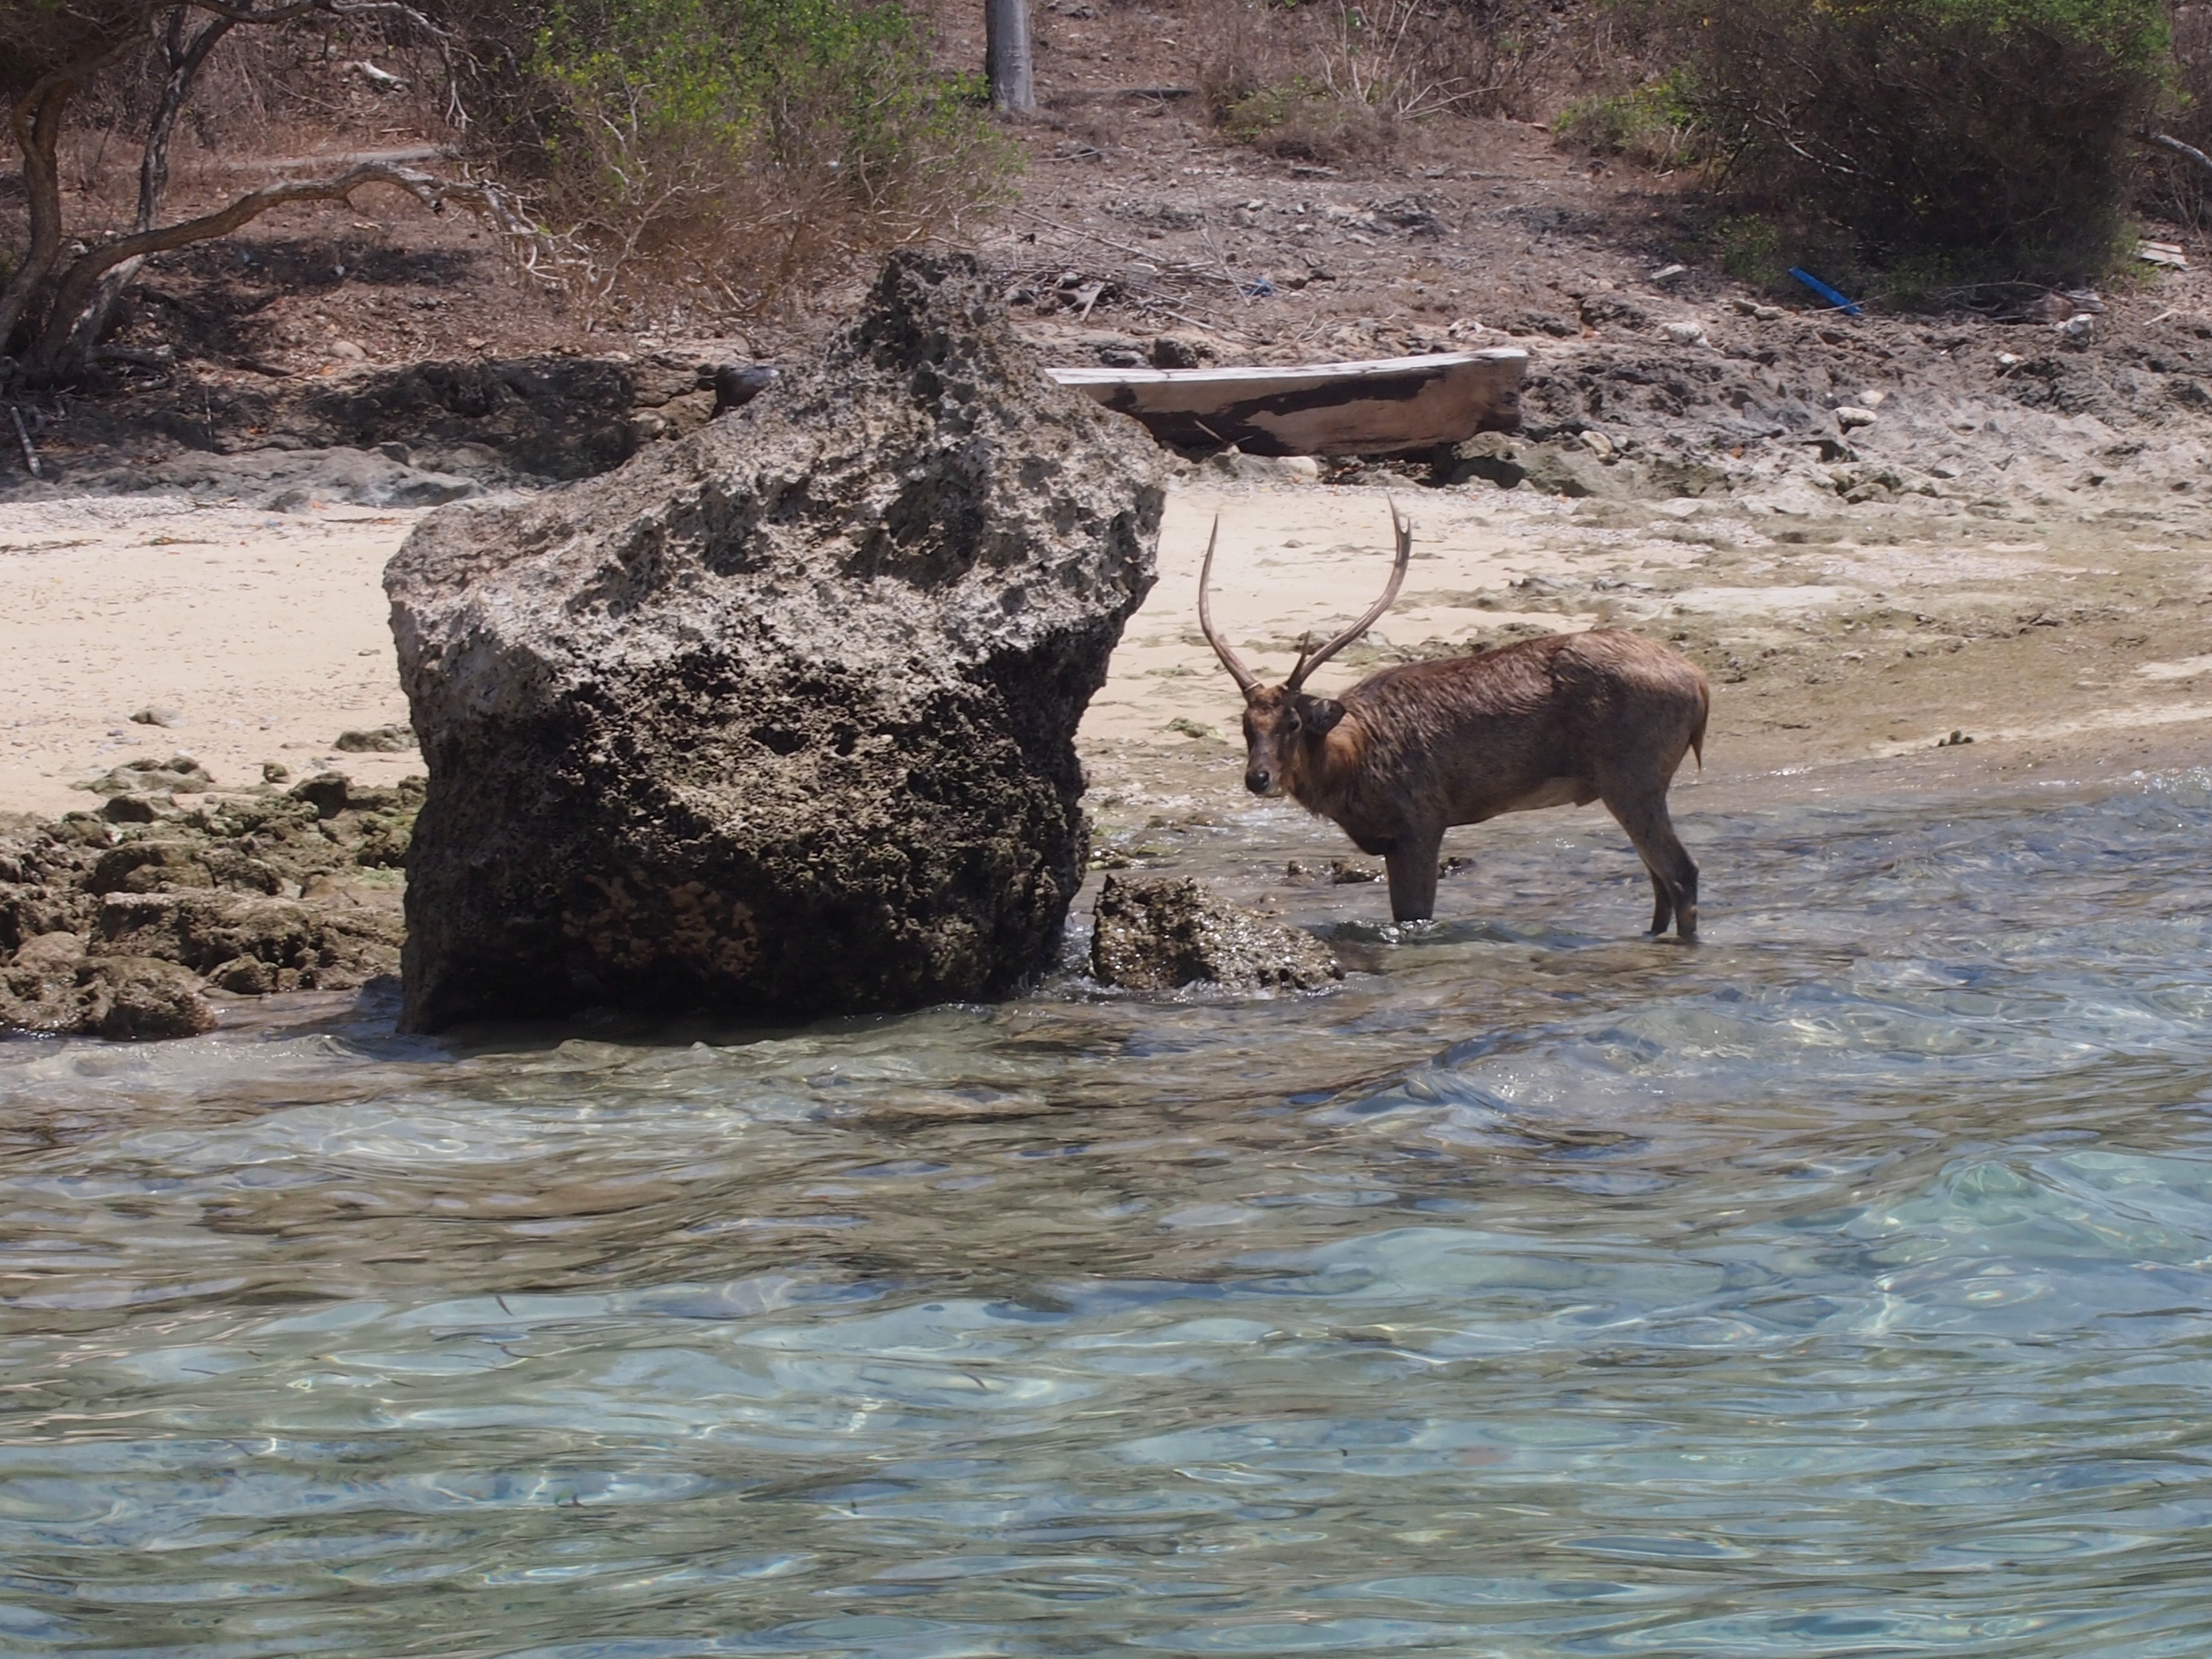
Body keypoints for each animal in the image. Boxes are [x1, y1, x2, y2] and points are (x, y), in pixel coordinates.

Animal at [1199, 506, 1711, 939]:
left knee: (1681, 874)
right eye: (1246, 723)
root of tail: (1701, 683)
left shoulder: (1421, 820)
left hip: (1633, 774)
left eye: (1293, 722)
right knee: (1659, 881)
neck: (1352, 769)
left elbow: (1415, 918)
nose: (1258, 778)